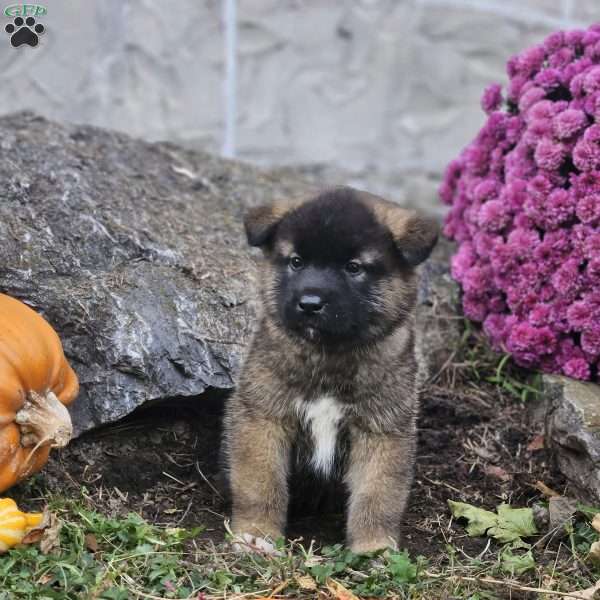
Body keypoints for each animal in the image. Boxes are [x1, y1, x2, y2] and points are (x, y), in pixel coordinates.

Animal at [223, 186, 438, 552]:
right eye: (296, 262)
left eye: (353, 268)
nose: (309, 304)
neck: (328, 357)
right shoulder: (263, 417)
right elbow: (261, 482)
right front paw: (256, 533)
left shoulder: (382, 429)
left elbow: (377, 494)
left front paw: (373, 545)